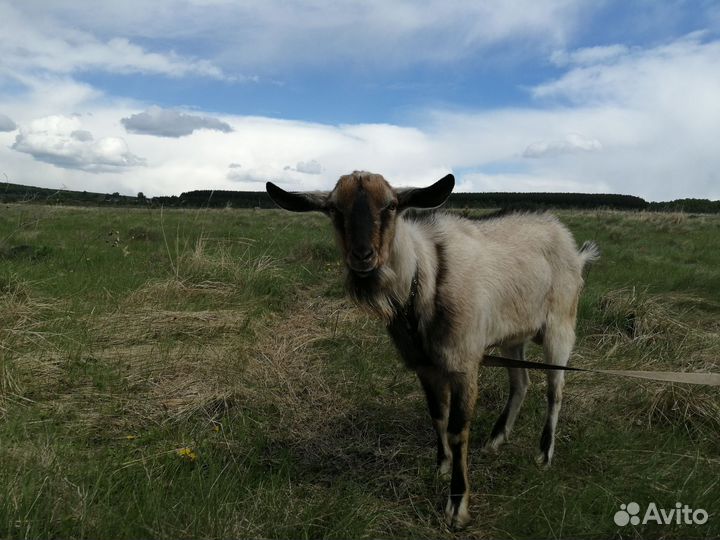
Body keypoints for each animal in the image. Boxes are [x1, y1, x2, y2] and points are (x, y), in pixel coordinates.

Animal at [264, 172, 596, 528]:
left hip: (561, 324)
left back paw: (544, 454)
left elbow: (457, 429)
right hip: (513, 335)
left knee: (554, 390)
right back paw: (495, 440)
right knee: (521, 382)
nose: (363, 257)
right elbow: (437, 415)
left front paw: (457, 505)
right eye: (333, 208)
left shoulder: (464, 363)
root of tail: (572, 247)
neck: (425, 277)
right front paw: (441, 466)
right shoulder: (425, 366)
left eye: (392, 205)